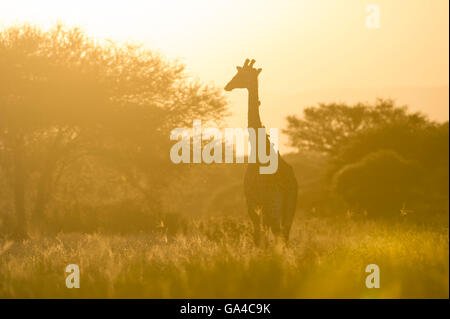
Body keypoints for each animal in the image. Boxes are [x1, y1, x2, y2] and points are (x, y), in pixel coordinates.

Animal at [223, 59, 298, 245]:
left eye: (241, 74)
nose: (228, 86)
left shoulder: (252, 202)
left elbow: (258, 237)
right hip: (290, 209)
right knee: (284, 237)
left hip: (273, 206)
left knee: (277, 234)